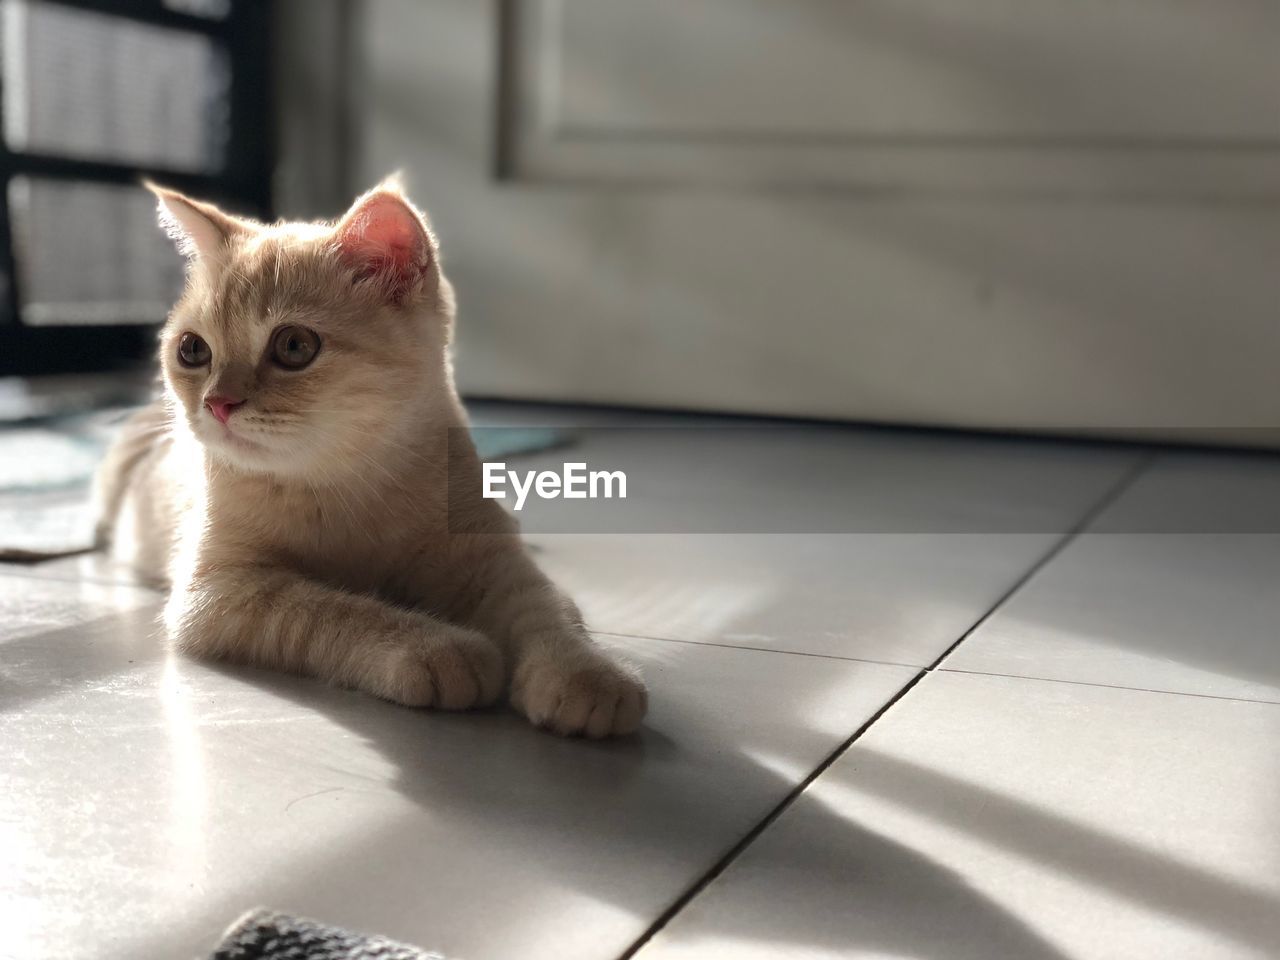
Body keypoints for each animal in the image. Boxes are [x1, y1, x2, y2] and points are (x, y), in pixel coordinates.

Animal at [94, 179, 645, 737]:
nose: (217, 403)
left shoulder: (494, 559)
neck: (346, 477)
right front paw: (439, 648)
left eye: (294, 346)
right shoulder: (216, 594)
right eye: (192, 350)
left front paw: (587, 672)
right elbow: (328, 610)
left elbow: (546, 608)